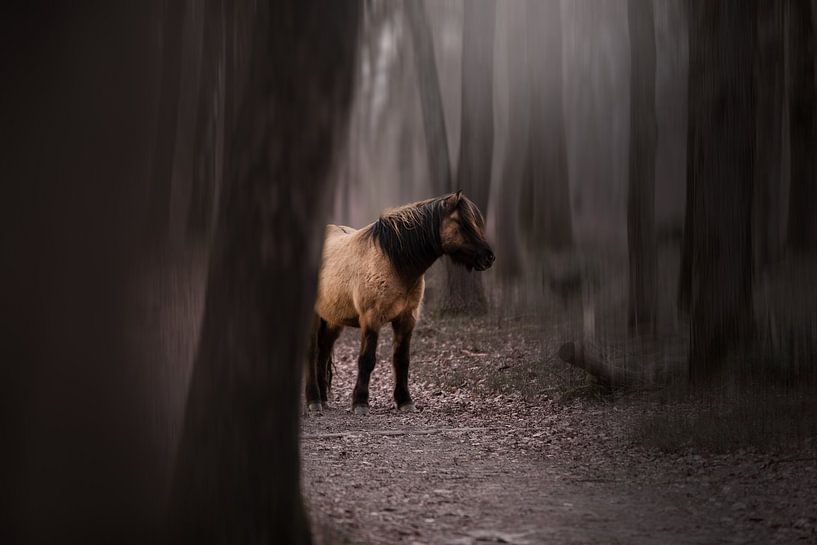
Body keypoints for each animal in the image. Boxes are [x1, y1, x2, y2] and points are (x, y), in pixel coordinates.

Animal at [304, 191, 495, 415]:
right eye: (463, 224)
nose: (488, 257)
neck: (393, 262)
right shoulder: (371, 319)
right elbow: (367, 360)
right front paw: (360, 402)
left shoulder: (407, 319)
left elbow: (402, 360)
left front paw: (405, 401)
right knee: (312, 353)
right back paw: (313, 400)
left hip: (333, 320)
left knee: (323, 352)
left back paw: (323, 399)